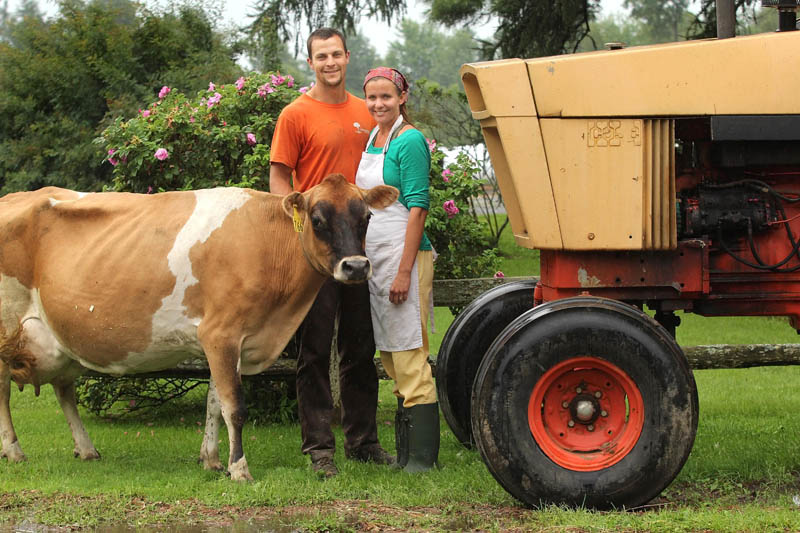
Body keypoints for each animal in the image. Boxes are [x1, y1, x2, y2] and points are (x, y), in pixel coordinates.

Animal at [0, 174, 398, 478]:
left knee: (63, 388)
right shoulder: (221, 334)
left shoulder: (223, 339)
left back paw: (86, 449)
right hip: (6, 329)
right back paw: (15, 451)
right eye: (317, 220)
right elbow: (234, 406)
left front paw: (211, 460)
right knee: (4, 391)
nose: (356, 267)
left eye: (366, 217)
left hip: (60, 339)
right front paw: (239, 469)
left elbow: (214, 402)